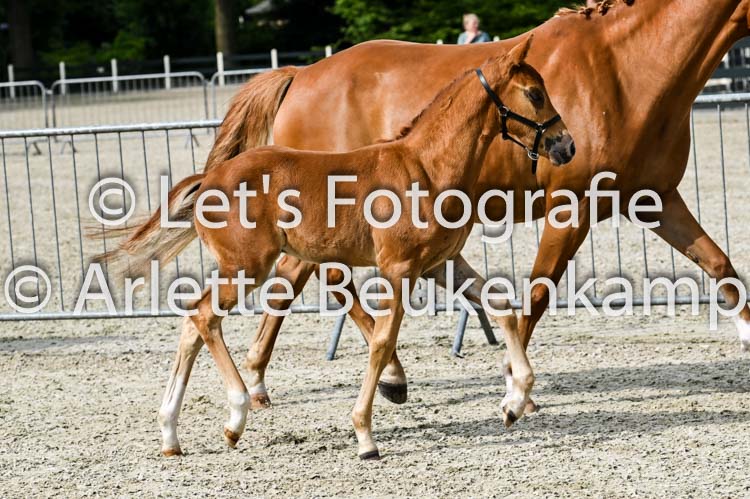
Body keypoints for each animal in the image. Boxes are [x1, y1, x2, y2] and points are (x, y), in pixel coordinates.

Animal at [97, 39, 574, 459]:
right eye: (534, 93)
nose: (566, 145)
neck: (427, 167)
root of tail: (208, 179)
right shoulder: (399, 268)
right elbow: (381, 342)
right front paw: (365, 435)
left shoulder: (440, 264)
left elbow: (501, 304)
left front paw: (514, 403)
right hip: (247, 266)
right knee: (203, 316)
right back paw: (235, 416)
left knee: (192, 325)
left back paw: (171, 435)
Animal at [206, 0, 750, 421]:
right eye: (534, 94)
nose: (565, 145)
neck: (624, 70)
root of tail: (300, 74)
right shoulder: (571, 209)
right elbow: (537, 296)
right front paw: (516, 394)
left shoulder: (656, 200)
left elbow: (720, 265)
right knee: (317, 279)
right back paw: (385, 377)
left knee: (292, 279)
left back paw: (267, 382)